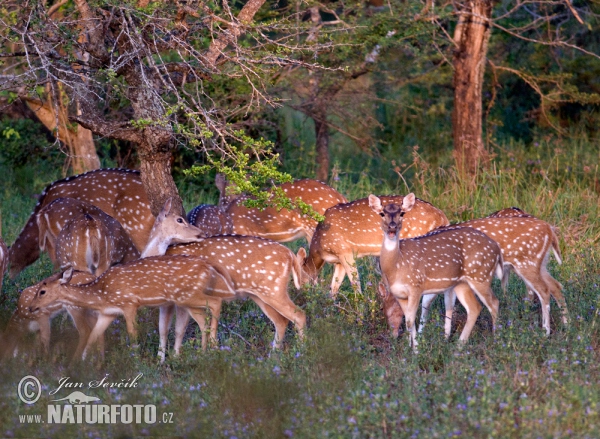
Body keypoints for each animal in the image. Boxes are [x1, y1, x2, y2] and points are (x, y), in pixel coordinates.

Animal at [166, 235, 308, 352]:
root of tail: (290, 254)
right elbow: (178, 329)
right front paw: (174, 357)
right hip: (260, 294)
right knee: (281, 321)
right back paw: (273, 355)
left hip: (273, 290)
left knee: (299, 315)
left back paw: (301, 351)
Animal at [298, 195, 448, 296]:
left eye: (297, 279)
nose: (301, 296)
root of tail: (443, 217)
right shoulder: (339, 260)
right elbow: (334, 287)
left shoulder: (345, 251)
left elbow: (356, 284)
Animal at [370, 193, 502, 350]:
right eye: (382, 213)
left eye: (402, 213)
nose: (392, 226)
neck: (396, 267)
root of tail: (496, 248)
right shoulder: (400, 295)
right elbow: (409, 322)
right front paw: (410, 347)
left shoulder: (416, 286)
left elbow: (411, 320)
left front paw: (416, 350)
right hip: (461, 283)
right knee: (475, 307)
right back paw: (459, 346)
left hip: (481, 275)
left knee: (494, 303)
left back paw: (495, 341)